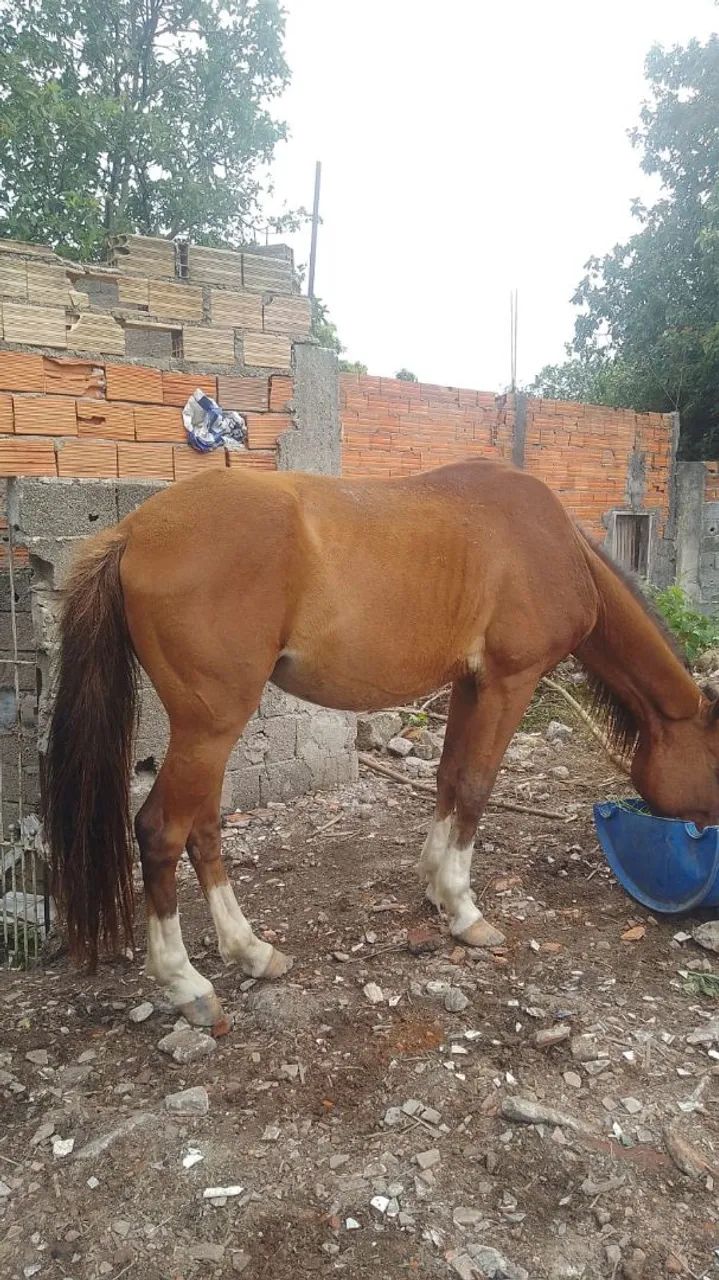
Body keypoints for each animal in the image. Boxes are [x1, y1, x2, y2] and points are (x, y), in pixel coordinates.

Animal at [44, 458, 719, 1028]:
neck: (555, 547)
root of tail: (133, 530)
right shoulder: (510, 682)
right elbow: (477, 786)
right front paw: (466, 912)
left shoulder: (469, 684)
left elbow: (449, 778)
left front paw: (434, 883)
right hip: (209, 728)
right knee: (162, 832)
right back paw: (187, 985)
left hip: (206, 732)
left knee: (202, 830)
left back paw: (252, 952)